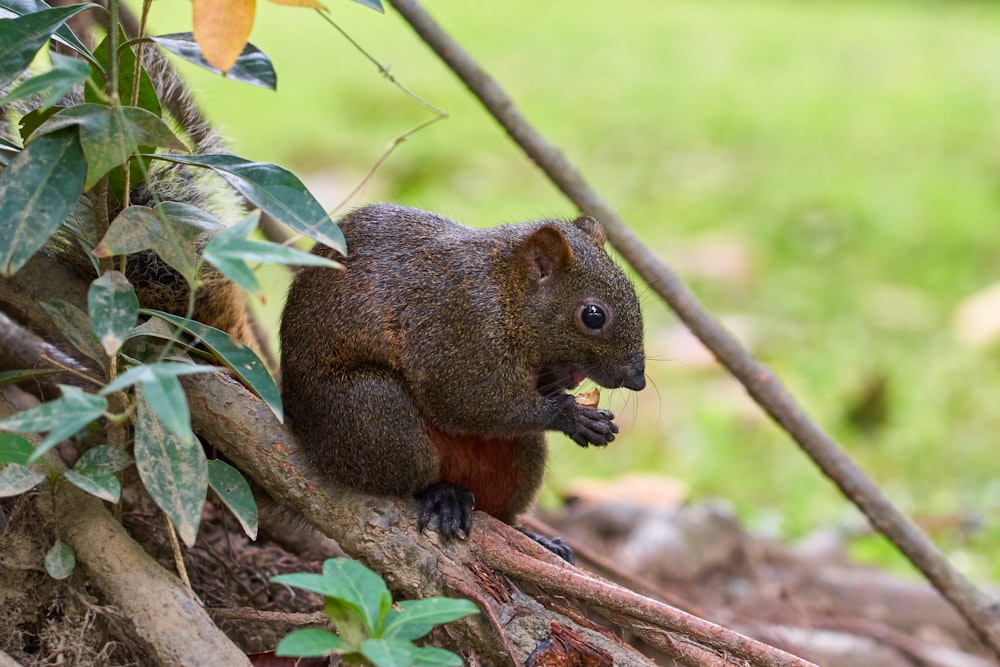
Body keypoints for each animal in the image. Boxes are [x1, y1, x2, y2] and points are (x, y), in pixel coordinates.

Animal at [280, 205, 648, 564]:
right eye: (593, 316)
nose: (638, 380)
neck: (507, 292)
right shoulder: (459, 329)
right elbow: (464, 402)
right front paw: (571, 416)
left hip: (520, 454)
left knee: (499, 507)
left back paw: (533, 536)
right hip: (369, 410)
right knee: (399, 477)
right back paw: (443, 493)